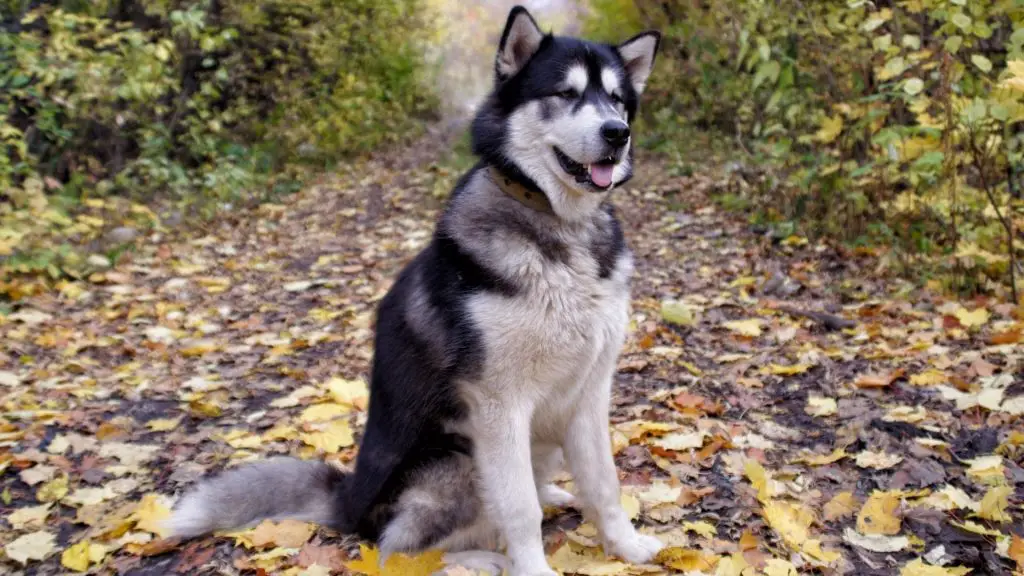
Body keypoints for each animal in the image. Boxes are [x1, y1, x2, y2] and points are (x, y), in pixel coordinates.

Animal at [165, 5, 663, 573]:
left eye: (618, 100)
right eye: (564, 93)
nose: (617, 133)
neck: (562, 227)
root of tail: (348, 501)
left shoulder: (589, 394)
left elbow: (604, 484)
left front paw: (626, 547)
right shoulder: (499, 407)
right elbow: (519, 510)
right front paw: (532, 568)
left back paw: (551, 497)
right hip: (457, 457)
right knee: (395, 551)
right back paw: (481, 560)